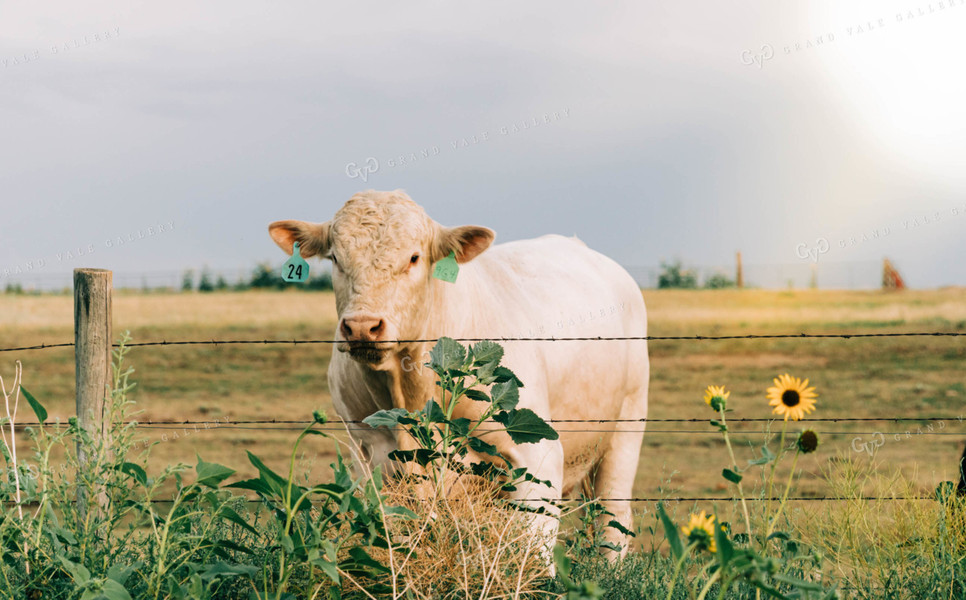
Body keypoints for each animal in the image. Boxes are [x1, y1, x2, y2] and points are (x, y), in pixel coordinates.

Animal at [268, 189, 656, 556]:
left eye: (414, 258)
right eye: (335, 258)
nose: (362, 326)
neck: (412, 390)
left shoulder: (539, 457)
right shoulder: (369, 457)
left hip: (626, 431)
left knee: (612, 522)